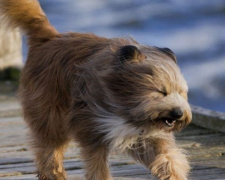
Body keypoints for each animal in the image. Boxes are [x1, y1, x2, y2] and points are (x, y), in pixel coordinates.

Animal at [0, 0, 192, 179]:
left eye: (181, 93)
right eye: (161, 92)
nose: (178, 113)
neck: (125, 107)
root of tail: (50, 38)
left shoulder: (147, 136)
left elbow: (167, 157)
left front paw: (173, 173)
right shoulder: (93, 129)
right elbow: (97, 165)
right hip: (51, 116)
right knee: (48, 149)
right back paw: (54, 173)